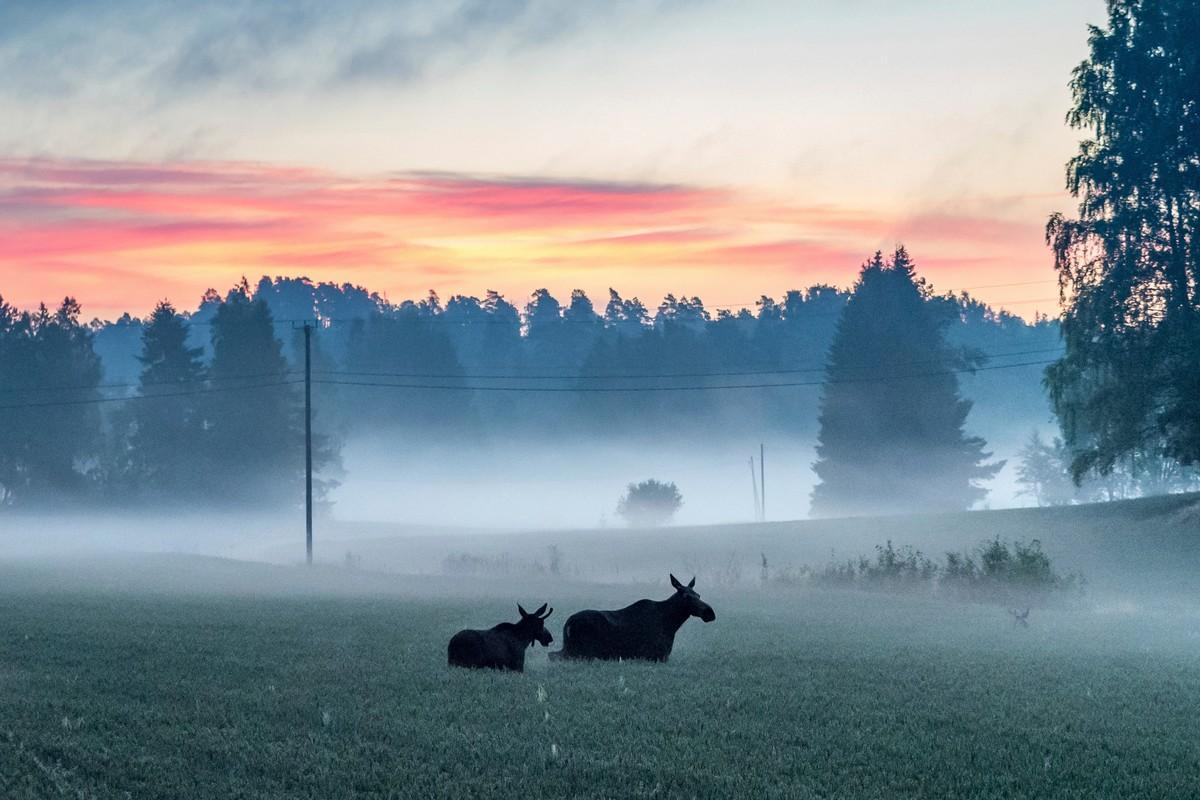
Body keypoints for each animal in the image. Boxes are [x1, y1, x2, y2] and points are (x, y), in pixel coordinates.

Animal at [549, 575, 710, 662]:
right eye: (687, 597)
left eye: (698, 595)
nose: (709, 612)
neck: (672, 623)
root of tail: (567, 625)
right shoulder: (657, 656)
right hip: (582, 652)